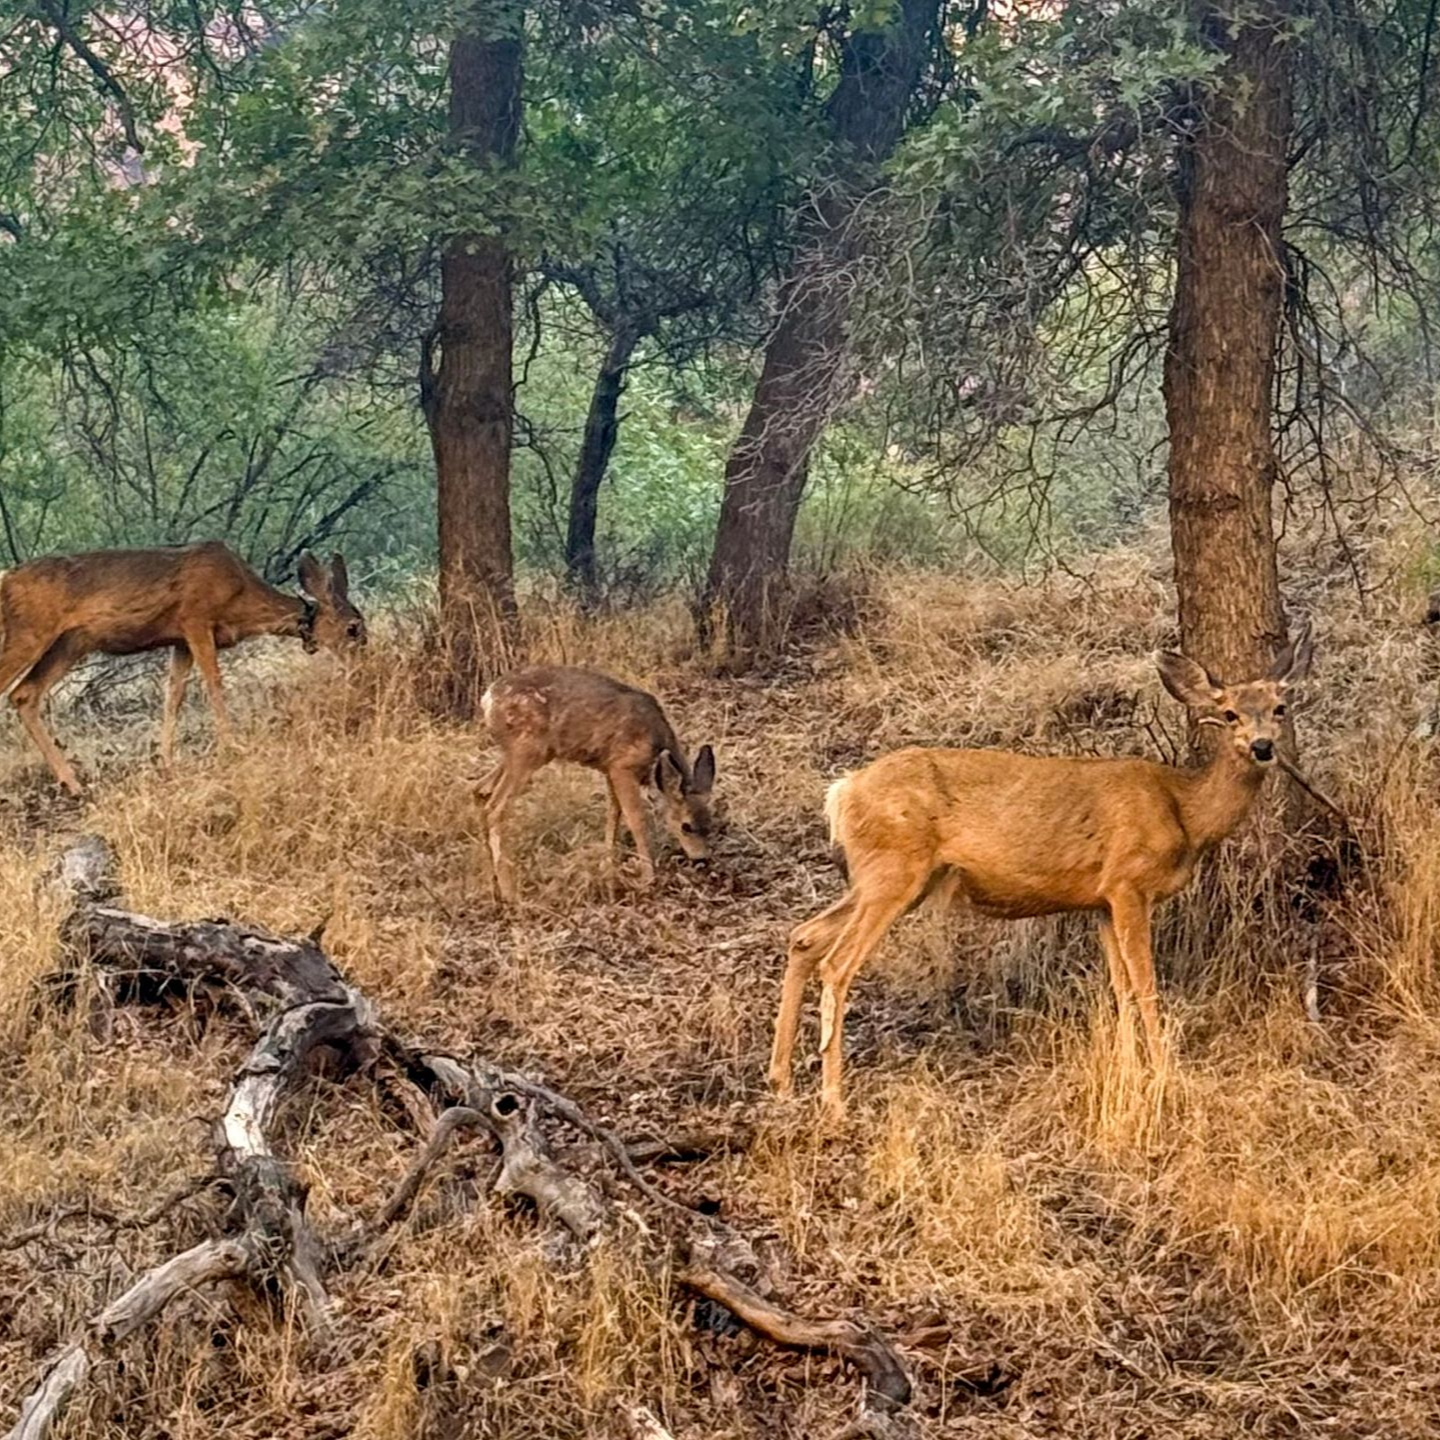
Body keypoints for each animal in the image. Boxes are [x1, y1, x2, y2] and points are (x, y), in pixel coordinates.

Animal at [0, 541, 365, 794]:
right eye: (353, 628)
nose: (363, 663)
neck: (241, 599)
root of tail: (6, 581)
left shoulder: (180, 640)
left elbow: (172, 695)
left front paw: (166, 762)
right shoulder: (196, 619)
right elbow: (214, 683)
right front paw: (232, 746)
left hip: (71, 642)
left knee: (25, 694)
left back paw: (73, 783)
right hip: (29, 631)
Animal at [477, 665, 716, 902]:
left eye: (709, 824)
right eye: (686, 826)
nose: (702, 860)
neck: (654, 745)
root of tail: (488, 698)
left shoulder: (609, 768)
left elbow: (614, 813)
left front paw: (607, 864)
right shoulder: (622, 766)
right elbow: (636, 819)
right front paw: (648, 878)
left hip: (517, 755)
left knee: (479, 790)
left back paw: (494, 885)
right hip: (528, 750)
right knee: (495, 808)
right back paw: (510, 893)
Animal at [769, 624, 1314, 1121]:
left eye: (1279, 708)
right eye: (1230, 713)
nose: (1263, 746)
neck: (1184, 810)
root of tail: (842, 791)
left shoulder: (1101, 900)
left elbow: (1119, 989)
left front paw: (1128, 1069)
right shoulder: (1128, 883)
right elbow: (1145, 985)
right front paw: (1163, 1073)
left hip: (888, 877)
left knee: (804, 936)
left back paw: (781, 1080)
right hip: (894, 869)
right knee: (836, 964)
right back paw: (833, 1099)